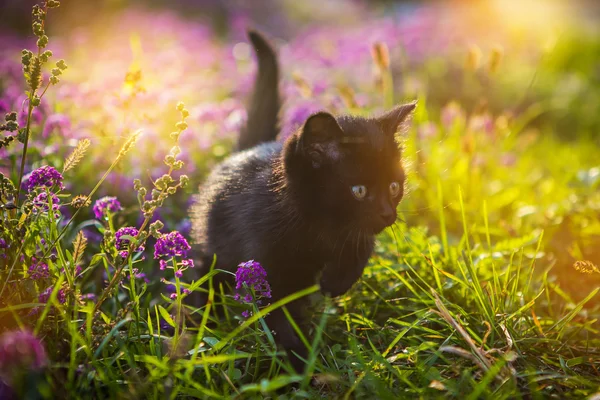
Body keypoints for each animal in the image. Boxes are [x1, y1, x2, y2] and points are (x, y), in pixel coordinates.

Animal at [190, 30, 414, 372]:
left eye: (393, 187)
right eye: (359, 190)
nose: (388, 214)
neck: (318, 227)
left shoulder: (354, 233)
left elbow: (360, 248)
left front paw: (335, 281)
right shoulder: (265, 267)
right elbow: (278, 315)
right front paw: (299, 361)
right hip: (214, 249)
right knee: (207, 275)